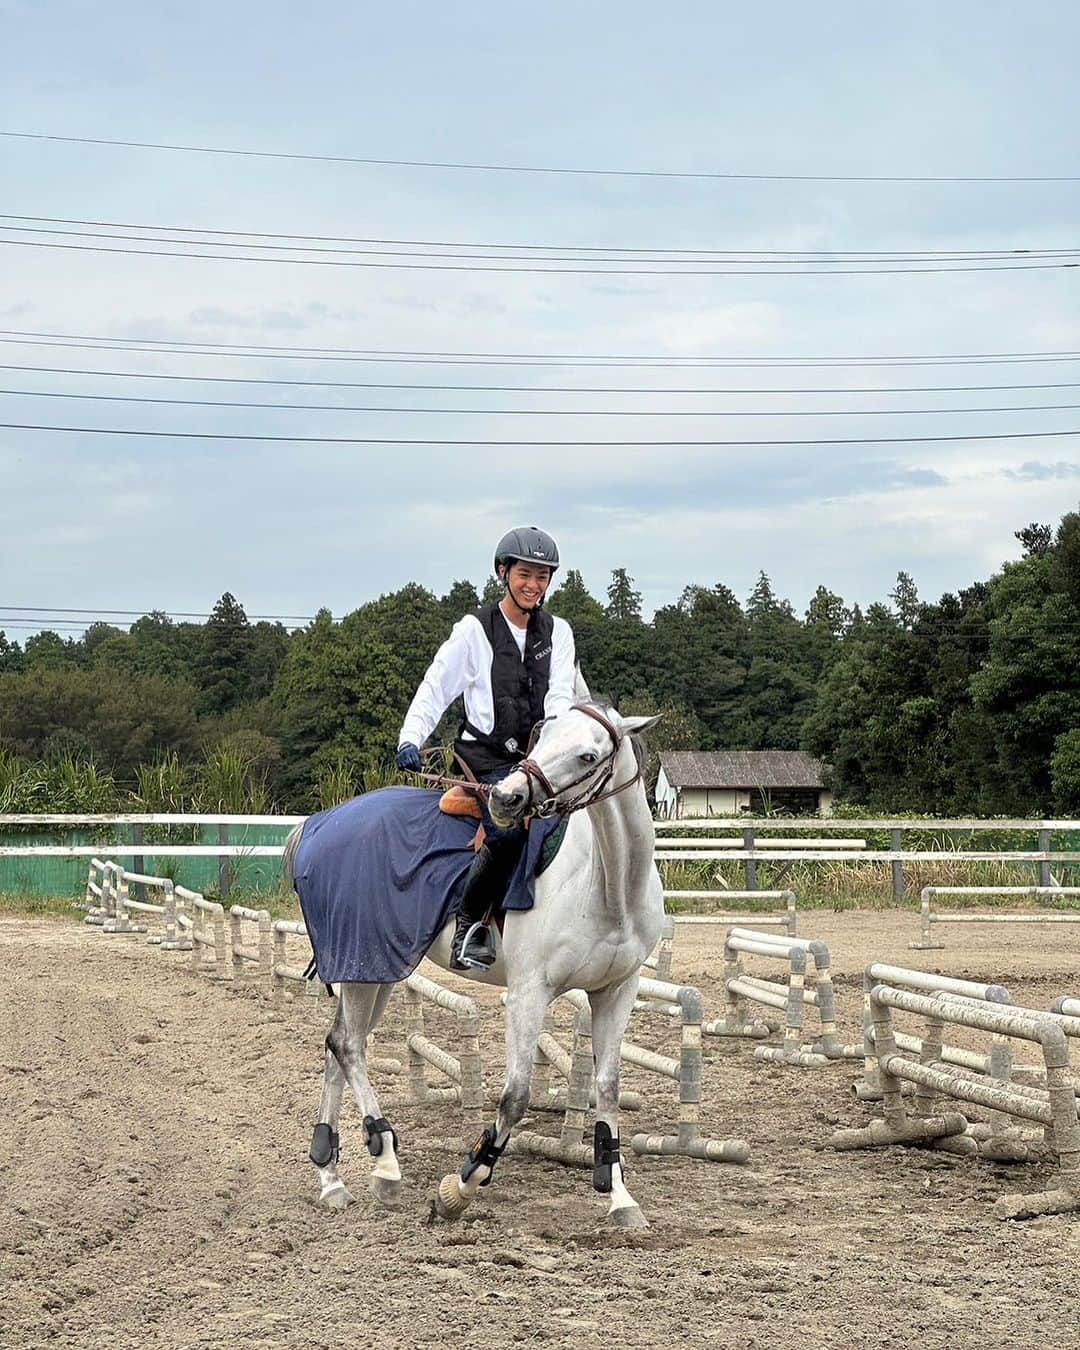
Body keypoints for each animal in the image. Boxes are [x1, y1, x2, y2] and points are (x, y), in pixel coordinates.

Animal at [282, 707, 661, 1225]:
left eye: (588, 755)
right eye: (543, 735)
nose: (506, 797)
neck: (609, 884)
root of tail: (319, 823)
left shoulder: (618, 990)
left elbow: (607, 1088)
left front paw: (621, 1197)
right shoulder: (527, 994)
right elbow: (516, 1097)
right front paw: (462, 1184)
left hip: (375, 968)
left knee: (338, 1043)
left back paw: (331, 1176)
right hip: (364, 961)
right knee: (348, 1046)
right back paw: (386, 1162)